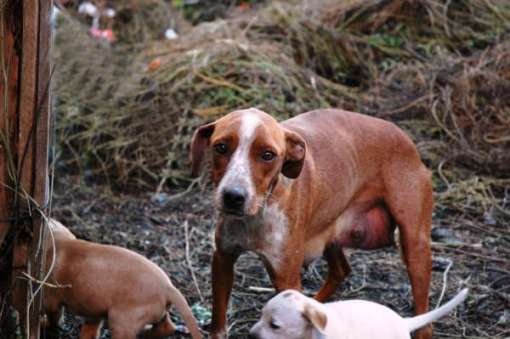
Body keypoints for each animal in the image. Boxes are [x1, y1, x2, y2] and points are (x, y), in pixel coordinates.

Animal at [42, 220, 201, 339]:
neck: (58, 240)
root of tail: (168, 287)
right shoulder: (94, 314)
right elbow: (89, 331)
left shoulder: (51, 299)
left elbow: (53, 317)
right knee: (167, 327)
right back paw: (146, 334)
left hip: (121, 321)